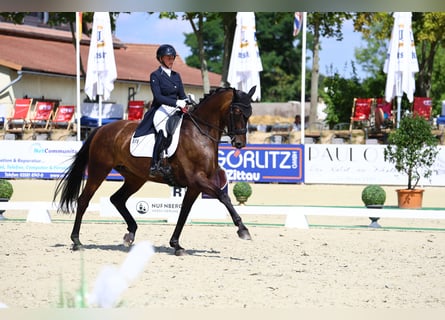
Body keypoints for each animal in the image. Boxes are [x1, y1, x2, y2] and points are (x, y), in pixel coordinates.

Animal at [53, 86, 255, 256]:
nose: (239, 143)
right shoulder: (197, 179)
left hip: (135, 177)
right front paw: (243, 230)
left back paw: (130, 234)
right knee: (83, 200)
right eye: (237, 111)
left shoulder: (194, 186)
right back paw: (77, 241)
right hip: (99, 170)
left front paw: (176, 245)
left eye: (249, 113)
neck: (200, 134)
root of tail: (101, 128)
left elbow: (184, 212)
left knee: (117, 199)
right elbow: (224, 196)